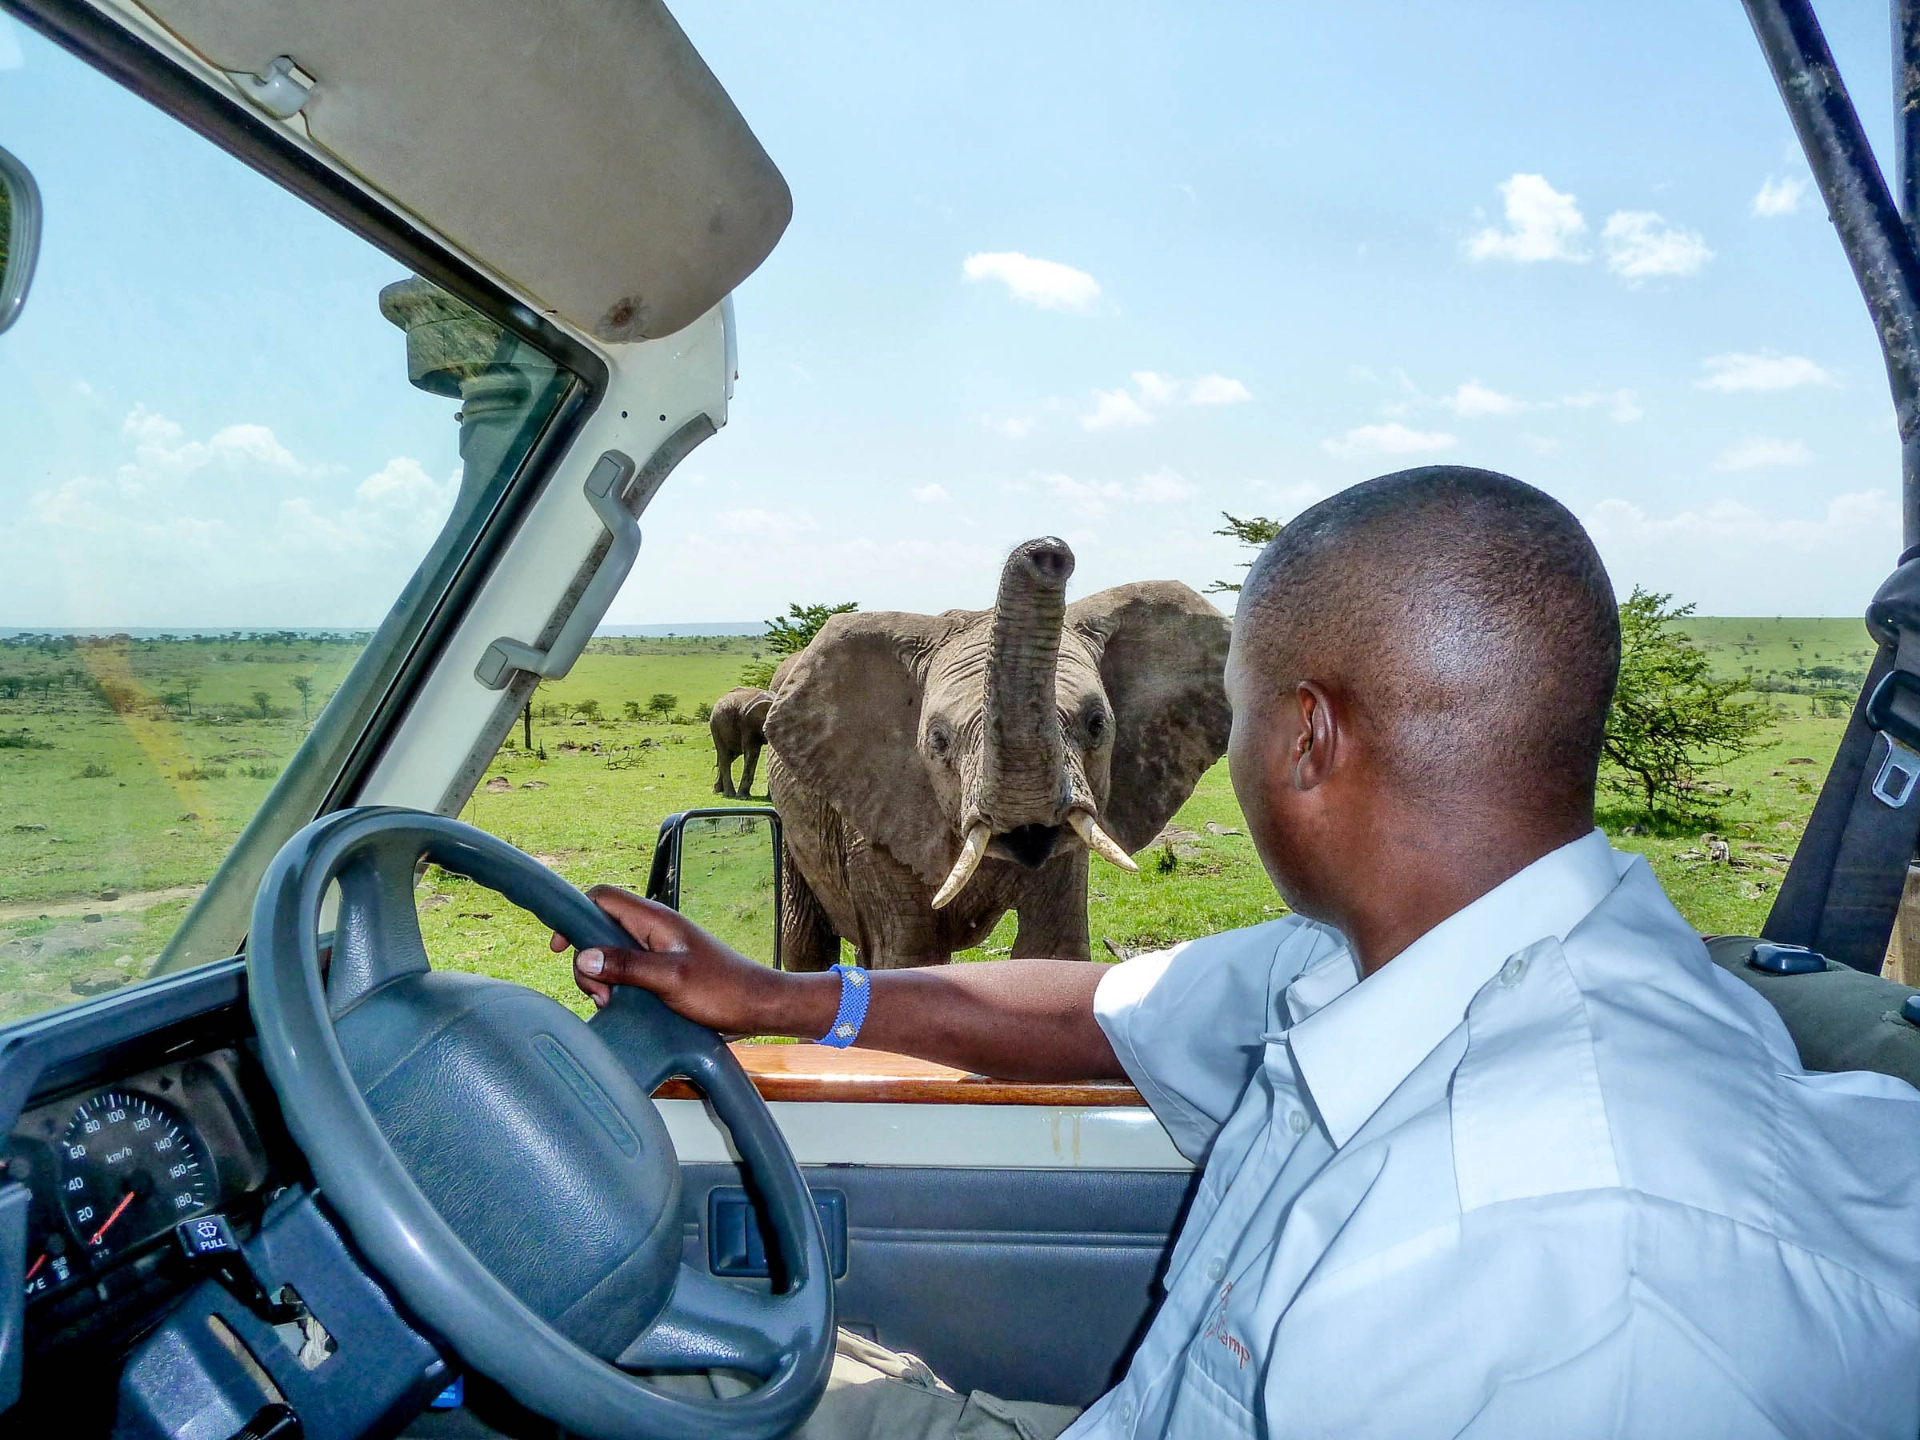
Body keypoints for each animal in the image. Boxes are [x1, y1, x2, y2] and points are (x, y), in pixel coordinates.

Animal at [764, 537, 1228, 971]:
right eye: (938, 741)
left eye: (1096, 725)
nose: (1049, 554)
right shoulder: (872, 819)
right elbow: (910, 957)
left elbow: (1052, 952)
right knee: (806, 942)